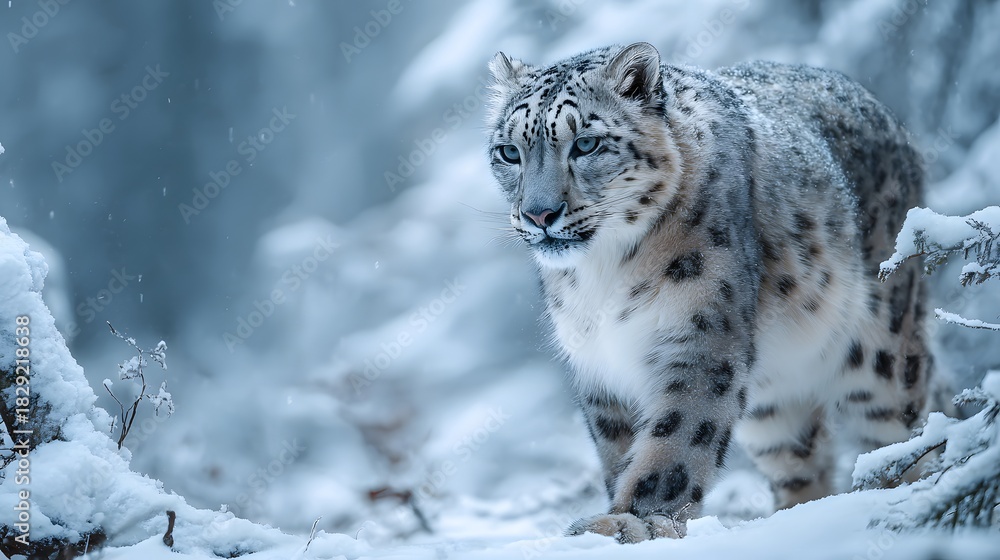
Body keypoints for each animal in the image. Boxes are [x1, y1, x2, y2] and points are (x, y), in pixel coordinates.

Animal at [484, 42, 932, 542]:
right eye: (509, 152)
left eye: (585, 143)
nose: (539, 214)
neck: (602, 274)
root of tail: (893, 121)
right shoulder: (599, 364)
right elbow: (620, 448)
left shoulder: (701, 337)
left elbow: (677, 439)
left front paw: (636, 522)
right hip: (773, 403)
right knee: (801, 457)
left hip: (879, 348)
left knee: (903, 427)